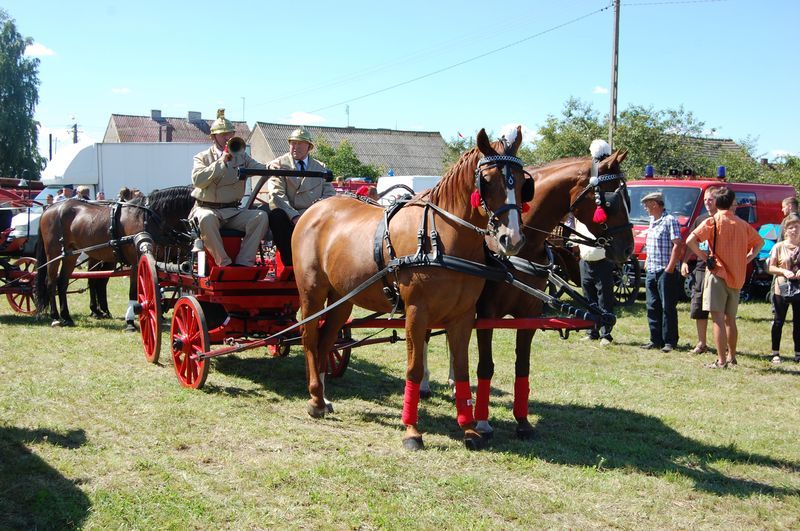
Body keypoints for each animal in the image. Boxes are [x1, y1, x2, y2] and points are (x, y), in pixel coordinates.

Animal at [35, 187, 195, 328]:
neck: (149, 218)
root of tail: (49, 208)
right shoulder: (137, 261)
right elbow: (134, 290)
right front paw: (130, 320)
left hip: (71, 254)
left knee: (63, 282)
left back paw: (67, 316)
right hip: (54, 253)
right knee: (51, 282)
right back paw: (56, 317)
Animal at [294, 127, 532, 450]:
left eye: (521, 182)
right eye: (488, 180)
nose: (513, 239)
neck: (440, 238)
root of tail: (315, 208)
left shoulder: (463, 316)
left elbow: (462, 369)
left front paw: (470, 428)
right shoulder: (417, 313)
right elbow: (414, 369)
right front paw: (411, 431)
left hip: (341, 299)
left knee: (325, 341)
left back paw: (321, 397)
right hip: (312, 293)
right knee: (309, 339)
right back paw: (314, 400)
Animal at [472, 147, 636, 440]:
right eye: (612, 199)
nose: (628, 249)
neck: (520, 252)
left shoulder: (529, 314)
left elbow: (522, 366)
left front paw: (523, 422)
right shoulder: (486, 313)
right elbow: (485, 365)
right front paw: (482, 422)